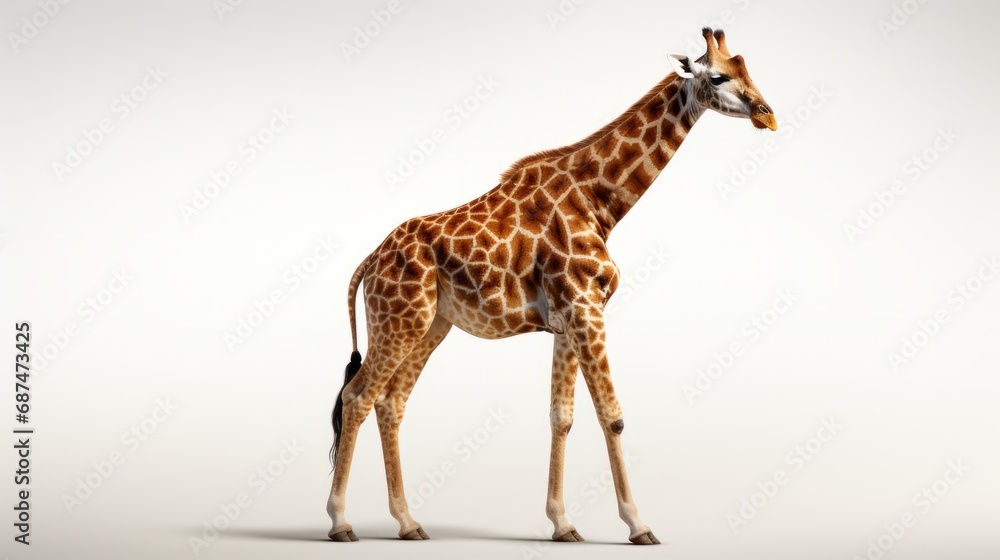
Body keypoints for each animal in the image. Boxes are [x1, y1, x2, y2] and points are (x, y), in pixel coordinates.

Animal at [327, 28, 776, 544]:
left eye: (747, 69)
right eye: (719, 76)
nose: (767, 114)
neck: (600, 204)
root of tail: (370, 259)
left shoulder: (569, 320)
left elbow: (562, 417)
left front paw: (562, 524)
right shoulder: (586, 309)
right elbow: (613, 416)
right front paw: (638, 525)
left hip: (431, 324)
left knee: (391, 402)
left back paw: (408, 522)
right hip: (398, 319)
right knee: (357, 397)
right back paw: (340, 522)